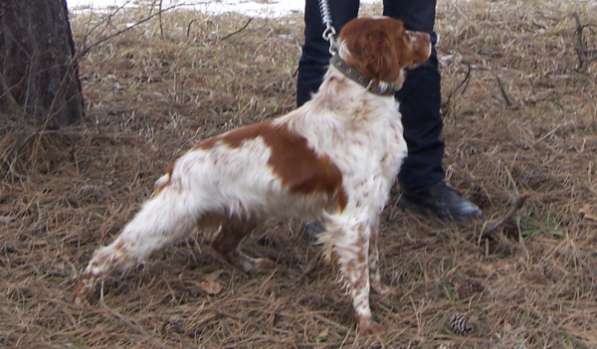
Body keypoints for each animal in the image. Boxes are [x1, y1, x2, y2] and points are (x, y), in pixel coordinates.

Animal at [74, 17, 430, 334]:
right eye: (404, 31)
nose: (430, 36)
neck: (357, 106)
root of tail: (175, 167)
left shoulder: (372, 210)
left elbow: (374, 263)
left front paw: (384, 293)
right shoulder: (351, 219)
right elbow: (359, 277)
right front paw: (366, 322)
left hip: (247, 212)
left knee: (220, 244)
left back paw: (254, 265)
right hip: (166, 221)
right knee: (107, 253)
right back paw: (84, 293)